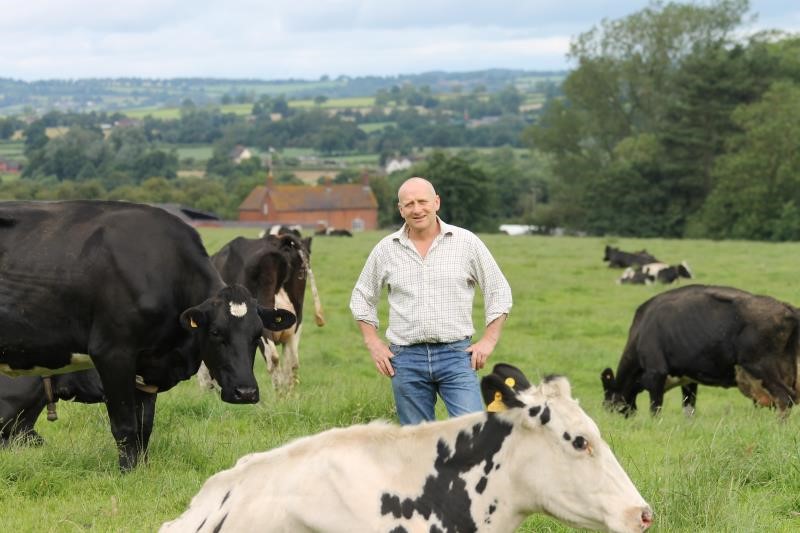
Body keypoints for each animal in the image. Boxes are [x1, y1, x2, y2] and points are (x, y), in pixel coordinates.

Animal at [0, 201, 296, 470]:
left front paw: (141, 470)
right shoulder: (112, 353)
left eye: (256, 335)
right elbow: (125, 426)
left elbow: (144, 426)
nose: (246, 392)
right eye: (215, 332)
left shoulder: (146, 369)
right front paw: (127, 473)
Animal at [604, 284, 796, 418]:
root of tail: (786, 307)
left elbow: (655, 409)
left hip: (760, 366)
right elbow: (689, 409)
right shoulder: (689, 379)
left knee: (784, 398)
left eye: (608, 405)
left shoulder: (655, 372)